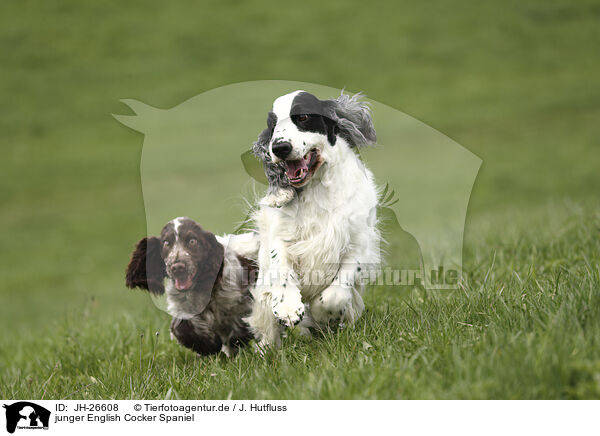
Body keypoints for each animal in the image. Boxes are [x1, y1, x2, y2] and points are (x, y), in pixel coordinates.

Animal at [126, 218, 258, 358]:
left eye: (192, 241)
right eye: (166, 243)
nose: (177, 267)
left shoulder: (241, 303)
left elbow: (239, 326)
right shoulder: (184, 308)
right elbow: (181, 327)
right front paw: (210, 345)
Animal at [245, 90, 380, 346]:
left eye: (303, 117)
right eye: (272, 125)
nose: (280, 147)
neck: (317, 187)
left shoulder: (357, 240)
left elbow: (337, 291)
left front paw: (321, 314)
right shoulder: (280, 234)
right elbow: (281, 265)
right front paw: (288, 308)